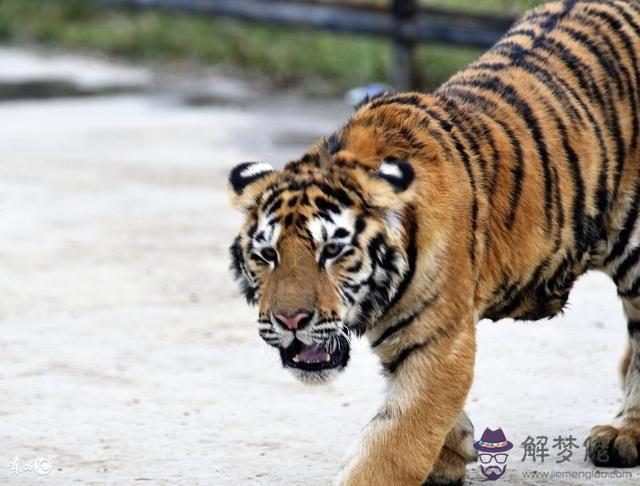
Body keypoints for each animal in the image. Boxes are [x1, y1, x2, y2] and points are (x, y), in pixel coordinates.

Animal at [227, 1, 640, 484]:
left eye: (331, 251)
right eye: (267, 255)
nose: (290, 319)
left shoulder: (437, 340)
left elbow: (391, 444)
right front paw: (452, 452)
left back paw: (622, 435)